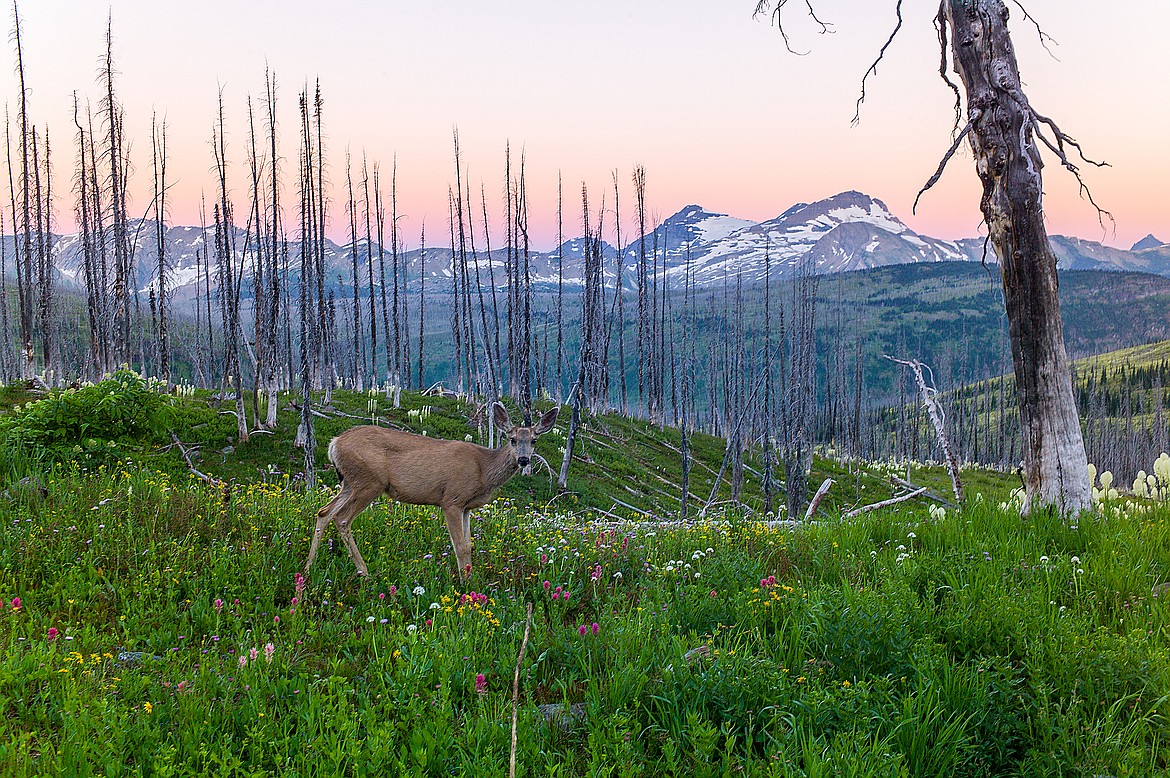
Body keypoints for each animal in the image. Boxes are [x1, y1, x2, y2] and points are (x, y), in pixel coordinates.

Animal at [301, 400, 556, 575]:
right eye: (512, 439)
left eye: (534, 440)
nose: (523, 459)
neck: (483, 469)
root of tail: (334, 443)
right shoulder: (452, 500)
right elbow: (459, 546)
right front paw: (465, 586)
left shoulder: (467, 507)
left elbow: (469, 546)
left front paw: (471, 580)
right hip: (369, 481)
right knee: (342, 518)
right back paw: (364, 572)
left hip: (349, 482)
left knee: (324, 512)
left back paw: (309, 566)